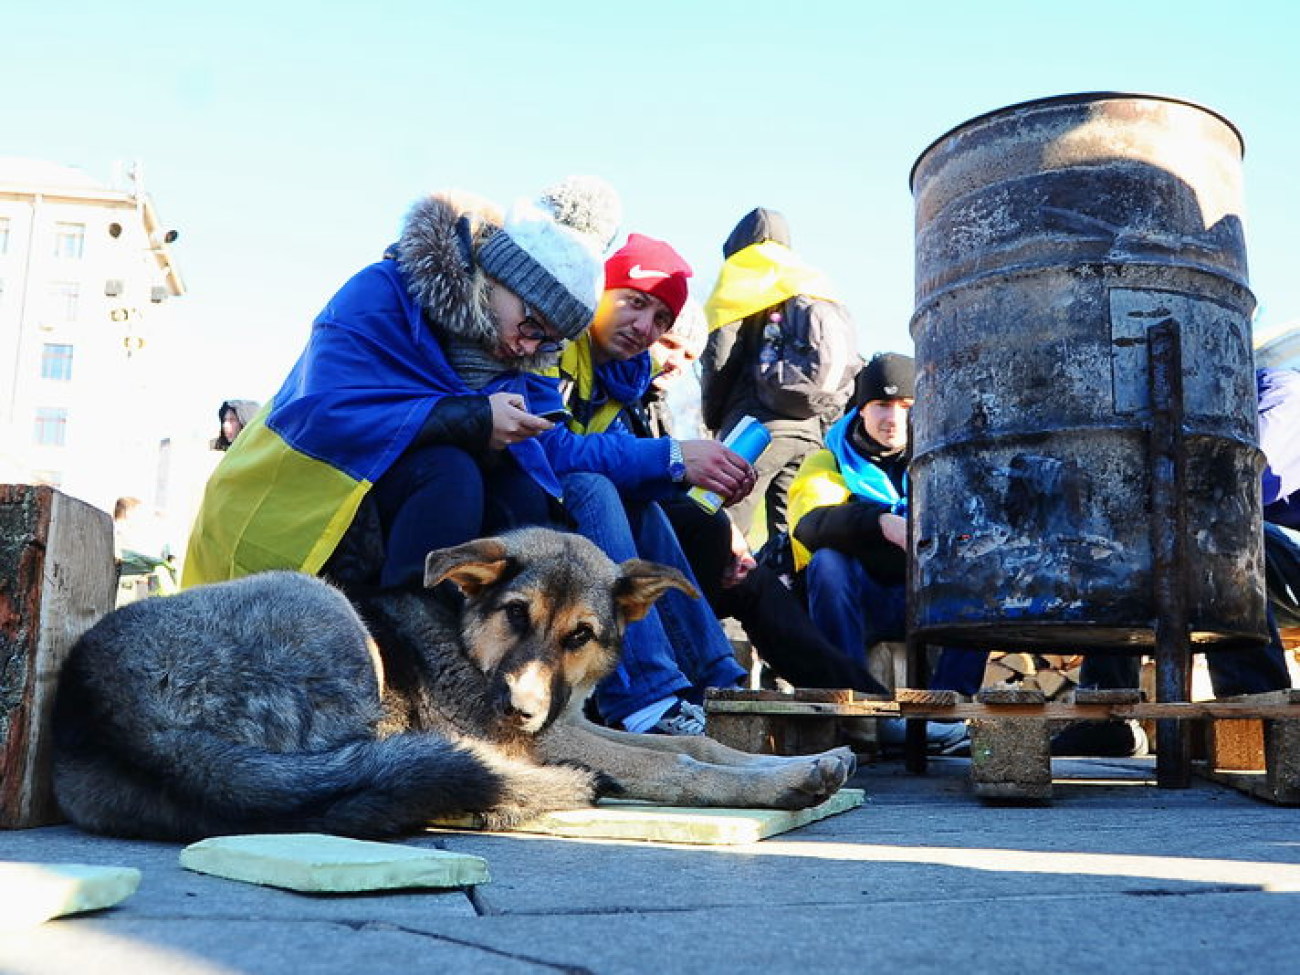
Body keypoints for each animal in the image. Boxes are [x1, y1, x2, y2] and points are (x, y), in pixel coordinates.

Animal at [50, 527, 857, 842]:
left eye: (581, 636)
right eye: (515, 614)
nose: (519, 711)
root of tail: (107, 711)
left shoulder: (570, 723)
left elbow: (709, 747)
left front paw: (808, 761)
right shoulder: (552, 738)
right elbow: (680, 763)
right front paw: (787, 781)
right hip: (331, 614)